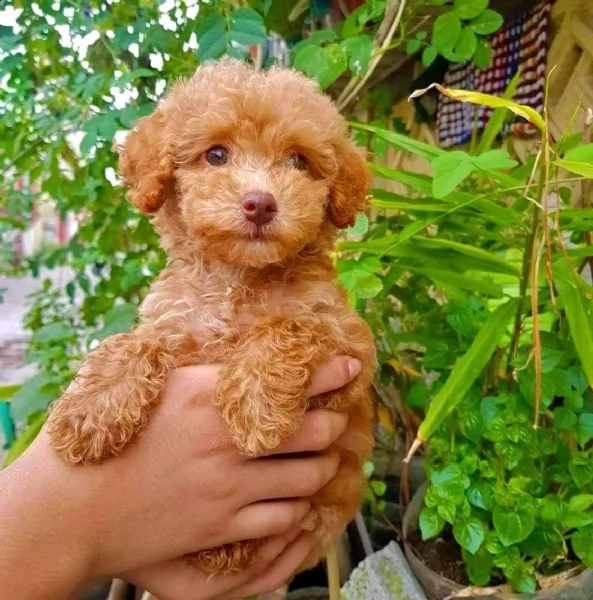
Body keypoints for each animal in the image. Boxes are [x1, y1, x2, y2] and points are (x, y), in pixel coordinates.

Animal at [48, 58, 376, 576]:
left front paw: (257, 404)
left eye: (298, 161)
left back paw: (226, 547)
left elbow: (290, 323)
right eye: (216, 154)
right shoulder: (175, 322)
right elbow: (136, 341)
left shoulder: (351, 352)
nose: (260, 202)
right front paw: (91, 409)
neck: (236, 280)